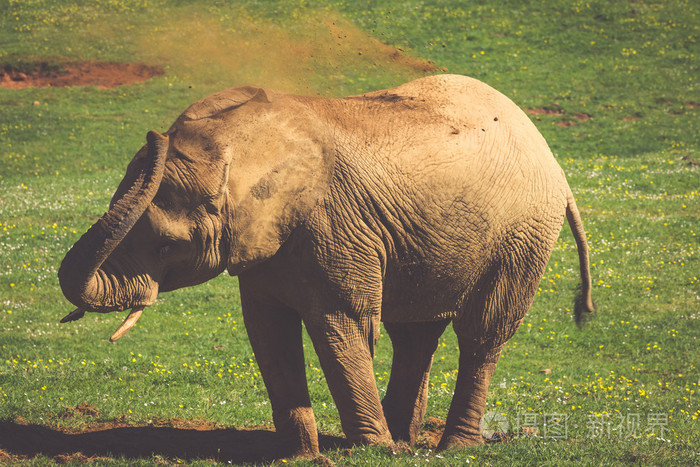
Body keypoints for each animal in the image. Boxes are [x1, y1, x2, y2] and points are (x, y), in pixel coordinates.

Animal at [61, 74, 596, 458]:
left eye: (167, 247)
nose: (155, 136)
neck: (245, 147)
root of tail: (549, 152)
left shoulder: (334, 227)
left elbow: (343, 325)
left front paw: (371, 452)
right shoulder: (268, 241)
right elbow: (267, 331)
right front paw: (301, 456)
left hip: (521, 238)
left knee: (483, 333)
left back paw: (452, 447)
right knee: (417, 332)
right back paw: (404, 440)